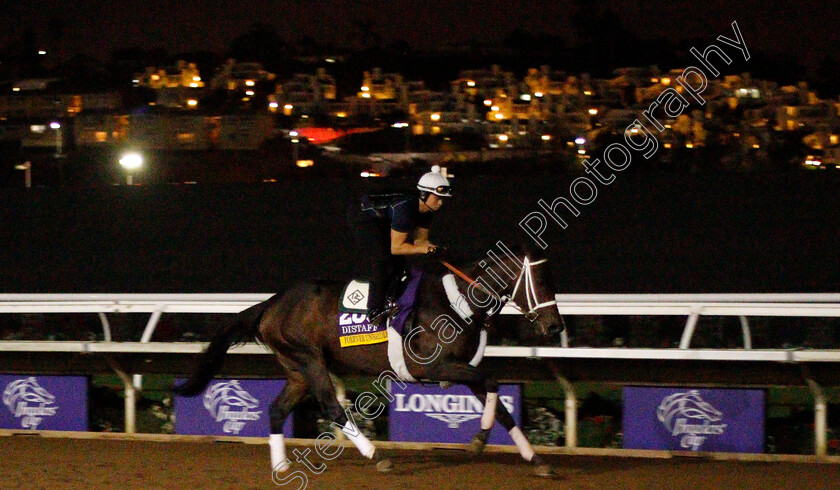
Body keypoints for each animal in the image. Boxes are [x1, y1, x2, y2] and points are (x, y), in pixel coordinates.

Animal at [172, 243, 564, 476]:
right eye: (541, 281)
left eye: (552, 278)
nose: (555, 325)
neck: (459, 302)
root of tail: (271, 304)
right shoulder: (432, 366)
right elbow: (493, 383)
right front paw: (479, 439)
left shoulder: (465, 368)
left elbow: (500, 402)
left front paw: (535, 458)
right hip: (310, 360)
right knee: (333, 407)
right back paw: (375, 455)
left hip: (297, 370)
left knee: (277, 410)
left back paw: (281, 465)